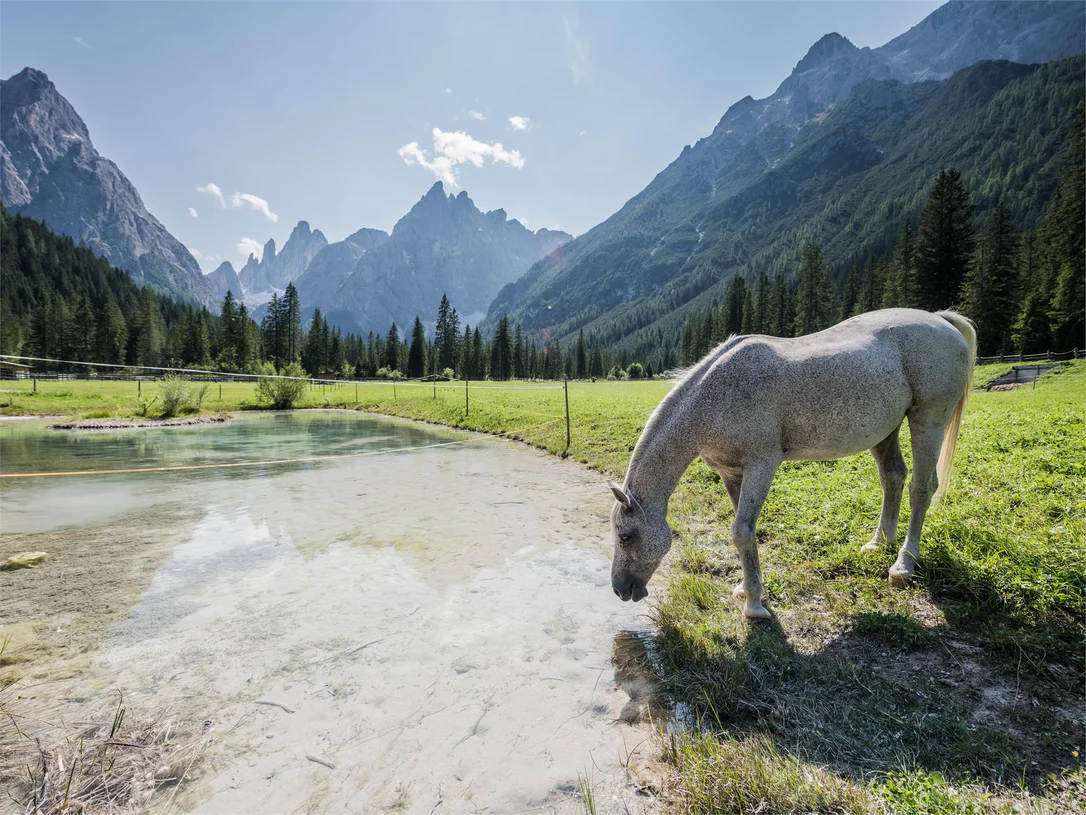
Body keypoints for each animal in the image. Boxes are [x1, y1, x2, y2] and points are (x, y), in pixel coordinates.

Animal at [612, 308, 977, 621]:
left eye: (625, 537)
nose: (619, 590)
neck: (714, 397)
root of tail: (939, 319)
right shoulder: (732, 473)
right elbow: (745, 530)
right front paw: (747, 588)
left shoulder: (762, 464)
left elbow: (741, 531)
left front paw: (754, 606)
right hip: (886, 429)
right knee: (893, 478)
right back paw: (879, 543)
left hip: (928, 418)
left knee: (922, 487)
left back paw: (903, 565)